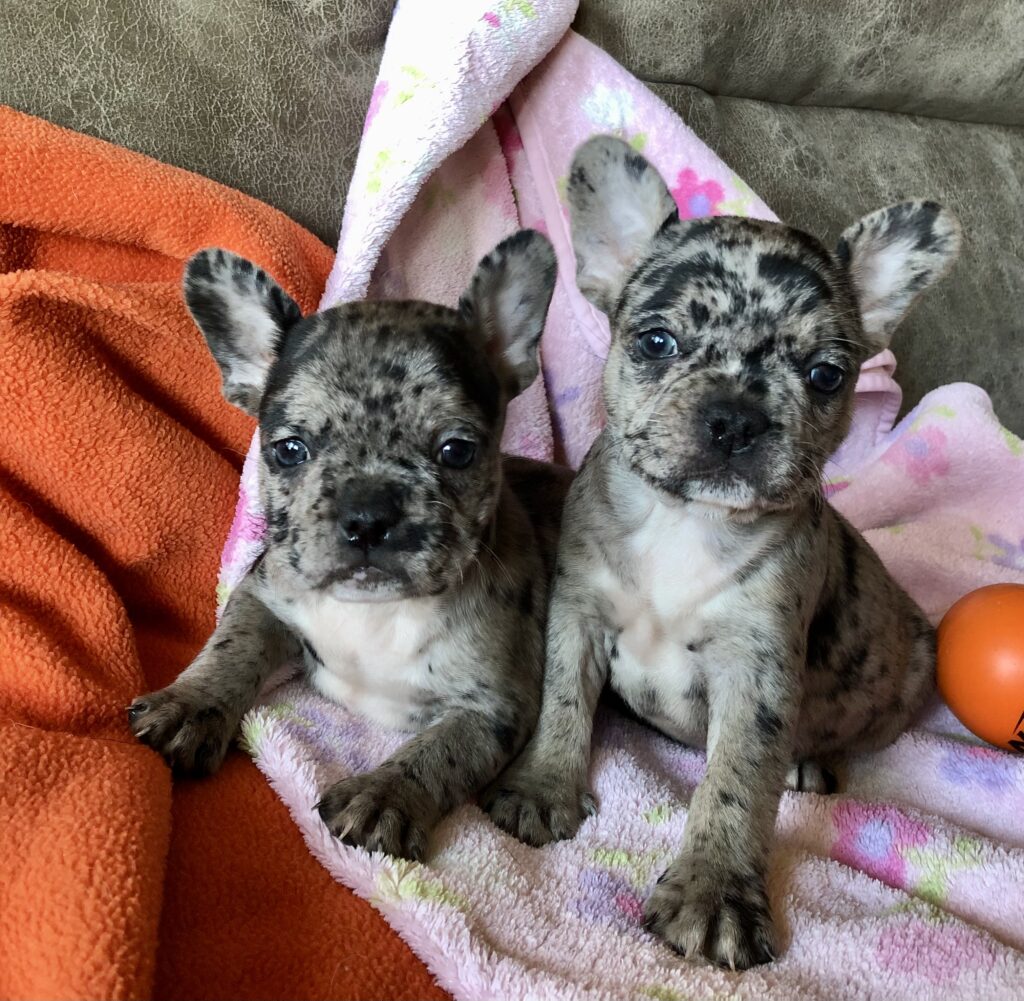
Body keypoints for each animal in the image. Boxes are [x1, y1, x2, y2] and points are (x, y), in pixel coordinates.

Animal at [126, 226, 569, 859]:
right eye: (290, 450)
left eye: (457, 451)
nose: (367, 515)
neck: (376, 613)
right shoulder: (264, 595)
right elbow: (231, 648)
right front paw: (190, 705)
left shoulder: (493, 707)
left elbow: (439, 752)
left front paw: (384, 796)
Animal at [485, 136, 958, 962]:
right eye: (656, 341)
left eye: (826, 374)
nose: (736, 416)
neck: (685, 519)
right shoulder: (577, 614)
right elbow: (563, 702)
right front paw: (543, 785)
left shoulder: (757, 668)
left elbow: (737, 780)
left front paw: (714, 890)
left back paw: (812, 759)